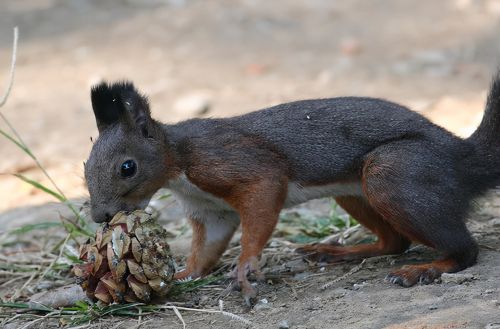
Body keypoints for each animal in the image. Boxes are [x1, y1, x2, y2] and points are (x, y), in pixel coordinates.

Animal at [84, 73, 500, 302]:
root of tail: (462, 157)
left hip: (393, 172)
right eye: (85, 166)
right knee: (394, 242)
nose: (101, 216)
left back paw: (425, 269)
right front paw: (183, 275)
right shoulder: (210, 211)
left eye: (127, 167)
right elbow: (207, 249)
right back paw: (336, 252)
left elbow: (264, 196)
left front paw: (245, 267)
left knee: (465, 250)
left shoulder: (235, 162)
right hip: (354, 191)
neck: (178, 162)